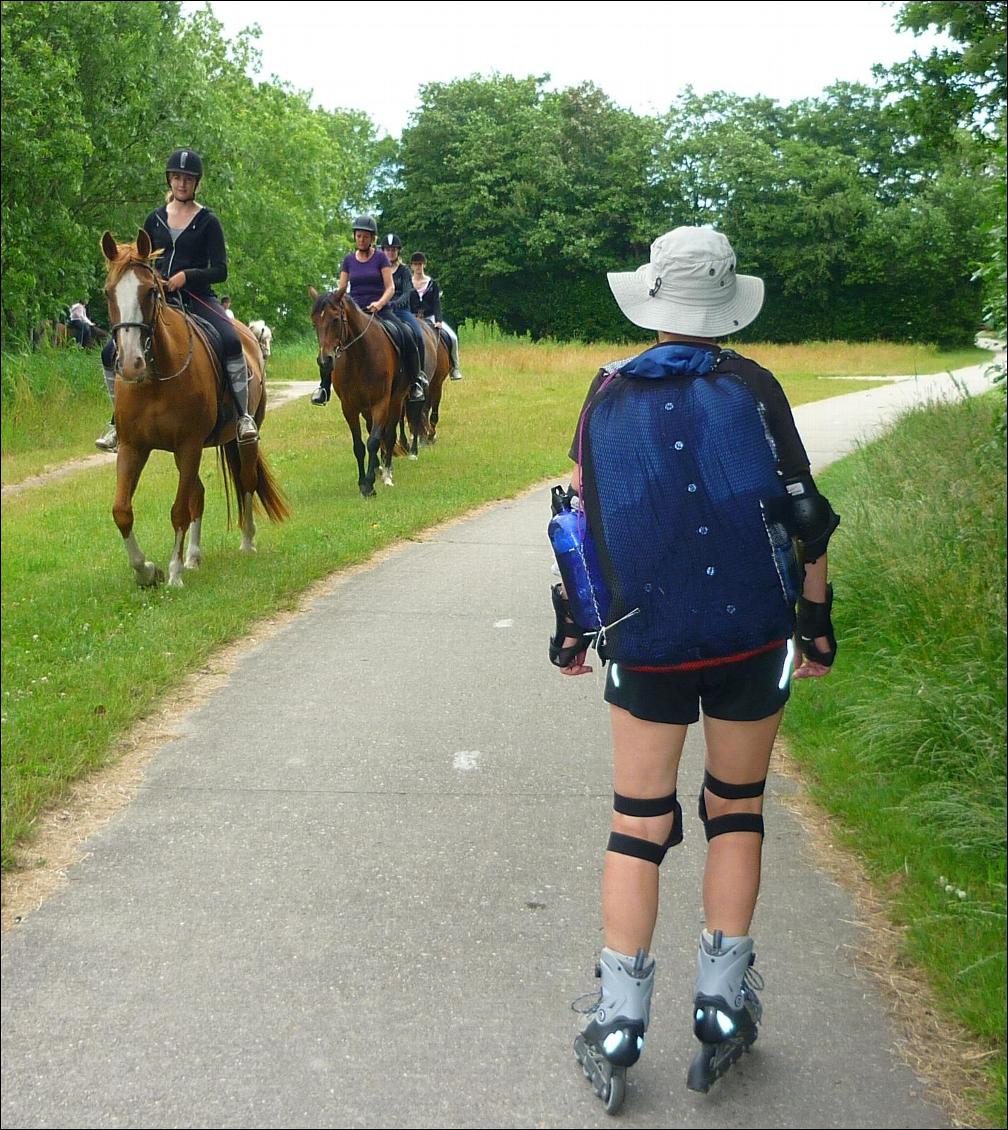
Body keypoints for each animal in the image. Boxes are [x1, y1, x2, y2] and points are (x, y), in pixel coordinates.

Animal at [101, 226, 287, 587]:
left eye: (150, 292)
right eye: (108, 293)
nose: (131, 364)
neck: (156, 380)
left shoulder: (188, 446)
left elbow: (178, 509)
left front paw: (172, 573)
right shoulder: (134, 447)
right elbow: (122, 511)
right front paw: (147, 571)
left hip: (241, 439)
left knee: (245, 481)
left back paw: (246, 541)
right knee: (198, 494)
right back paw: (194, 556)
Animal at [311, 284, 413, 497]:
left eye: (335, 319)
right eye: (314, 322)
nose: (325, 361)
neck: (359, 356)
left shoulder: (381, 403)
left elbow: (373, 441)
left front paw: (369, 485)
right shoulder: (349, 407)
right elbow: (359, 445)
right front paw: (362, 481)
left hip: (396, 401)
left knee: (388, 434)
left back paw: (387, 473)